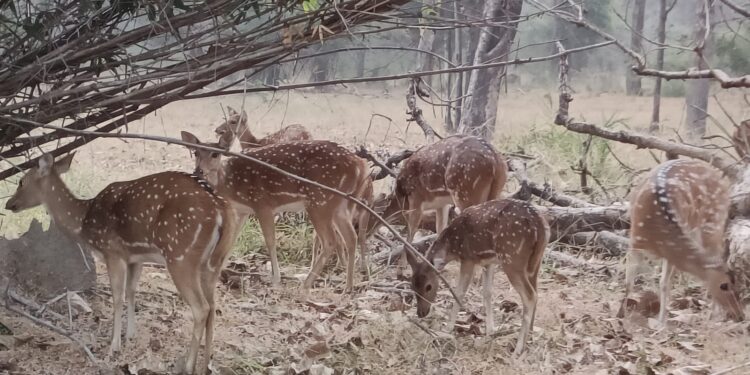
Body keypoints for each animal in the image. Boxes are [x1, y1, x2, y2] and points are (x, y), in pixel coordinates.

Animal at [4, 153, 241, 375]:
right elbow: (131, 291)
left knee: (201, 308)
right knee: (213, 306)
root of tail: (222, 209)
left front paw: (114, 345)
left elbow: (117, 297)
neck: (83, 221)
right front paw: (131, 335)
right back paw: (207, 363)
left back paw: (188, 366)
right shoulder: (135, 258)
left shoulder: (113, 252)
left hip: (181, 256)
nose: (9, 204)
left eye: (22, 181)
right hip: (214, 261)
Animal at [179, 132, 374, 290]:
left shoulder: (262, 204)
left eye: (215, 153)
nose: (198, 170)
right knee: (351, 237)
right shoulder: (242, 210)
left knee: (331, 241)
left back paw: (306, 284)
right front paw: (219, 272)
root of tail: (360, 165)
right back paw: (348, 286)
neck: (229, 184)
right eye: (195, 153)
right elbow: (232, 240)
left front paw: (275, 279)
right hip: (340, 205)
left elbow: (270, 241)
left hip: (320, 200)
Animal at [372, 135, 508, 276]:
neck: (401, 196)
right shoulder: (442, 204)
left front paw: (401, 270)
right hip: (495, 191)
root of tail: (496, 163)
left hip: (467, 192)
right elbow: (440, 229)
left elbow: (411, 231)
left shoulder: (416, 198)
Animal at [406, 200, 552, 356]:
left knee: (530, 295)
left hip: (512, 258)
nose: (421, 313)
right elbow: (487, 292)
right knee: (536, 292)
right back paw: (529, 335)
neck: (452, 246)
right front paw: (490, 331)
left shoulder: (468, 259)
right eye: (412, 286)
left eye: (429, 286)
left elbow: (459, 292)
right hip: (535, 261)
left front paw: (447, 328)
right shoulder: (488, 261)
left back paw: (518, 349)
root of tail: (539, 224)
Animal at [624, 158, 748, 324]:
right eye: (724, 285)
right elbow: (629, 282)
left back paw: (711, 316)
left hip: (713, 222)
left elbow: (664, 283)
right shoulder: (635, 241)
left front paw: (661, 322)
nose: (740, 315)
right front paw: (620, 316)